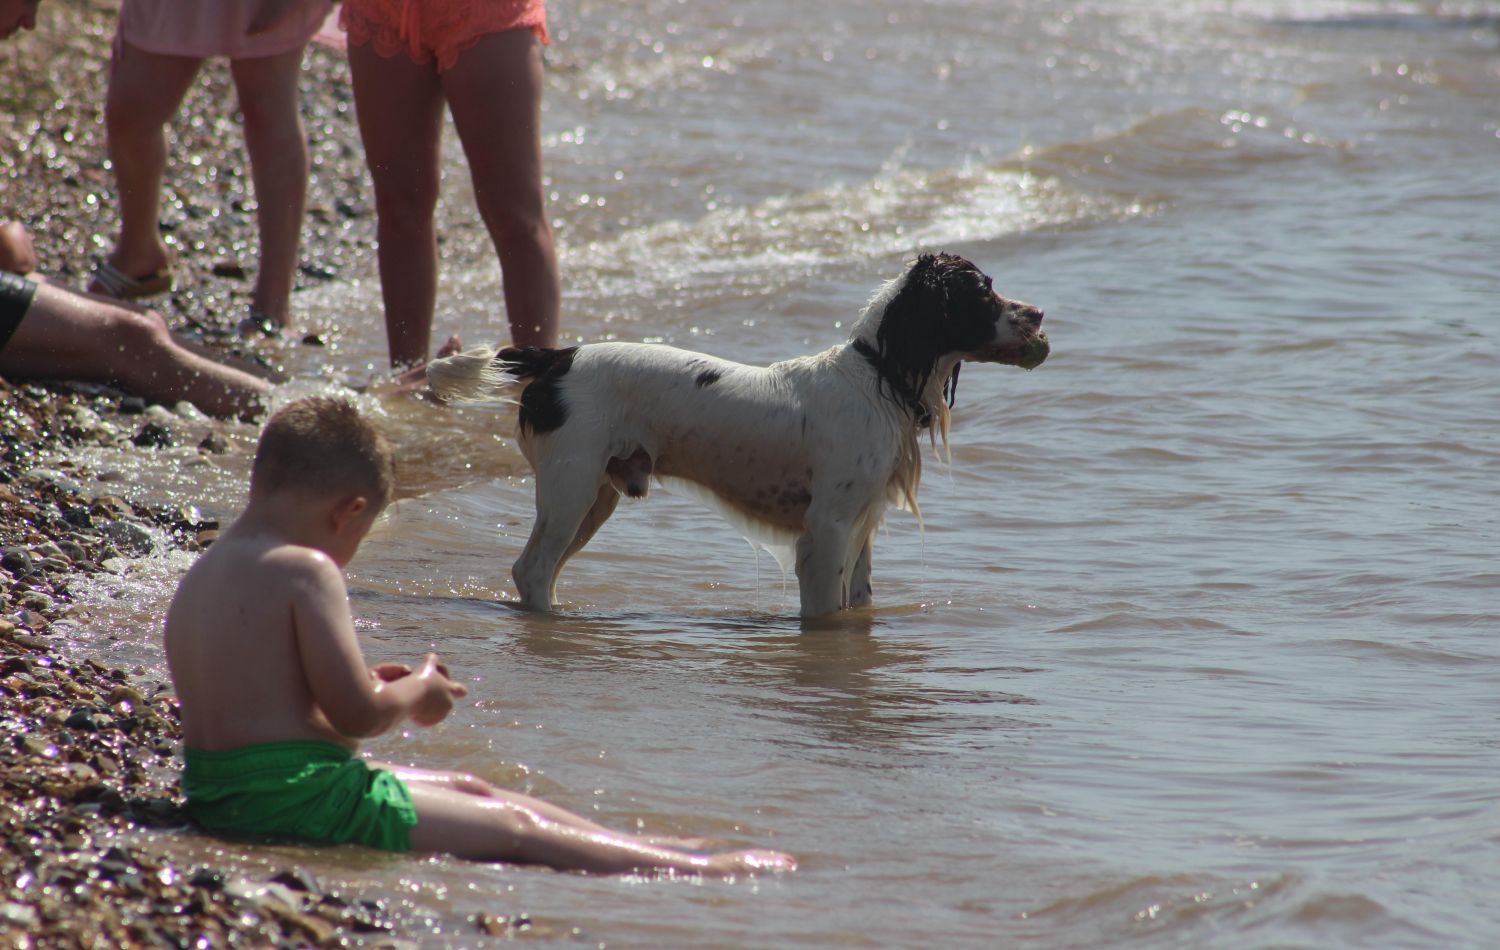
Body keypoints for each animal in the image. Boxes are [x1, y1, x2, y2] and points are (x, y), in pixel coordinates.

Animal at [429, 252, 1050, 618]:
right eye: (982, 292)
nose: (1040, 313)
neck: (875, 376)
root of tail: (559, 356)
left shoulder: (861, 525)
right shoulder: (826, 532)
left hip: (594, 497)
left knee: (537, 571)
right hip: (571, 487)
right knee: (533, 569)